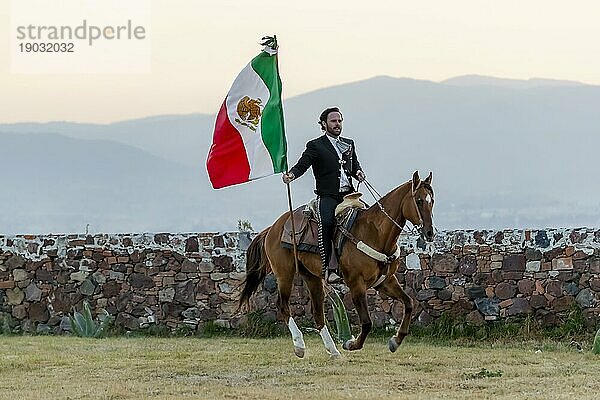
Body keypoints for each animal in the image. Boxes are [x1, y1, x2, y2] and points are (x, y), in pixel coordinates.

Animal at [240, 170, 436, 358]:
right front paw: (352, 344)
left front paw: (395, 340)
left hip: (312, 277)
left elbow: (409, 303)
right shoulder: (356, 283)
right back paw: (299, 345)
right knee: (282, 305)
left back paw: (332, 350)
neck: (374, 232)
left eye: (431, 200)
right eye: (419, 200)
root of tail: (272, 228)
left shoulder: (385, 281)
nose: (429, 233)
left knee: (318, 314)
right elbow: (367, 322)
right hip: (284, 273)